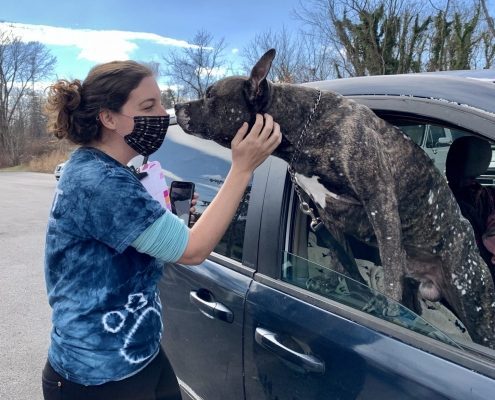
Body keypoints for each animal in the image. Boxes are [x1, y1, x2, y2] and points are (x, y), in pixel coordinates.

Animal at [175, 47, 495, 346]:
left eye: (210, 96)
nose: (177, 105)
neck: (302, 127)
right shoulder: (327, 214)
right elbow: (340, 259)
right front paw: (335, 284)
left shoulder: (380, 201)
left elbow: (390, 263)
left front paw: (387, 310)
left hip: (471, 298)